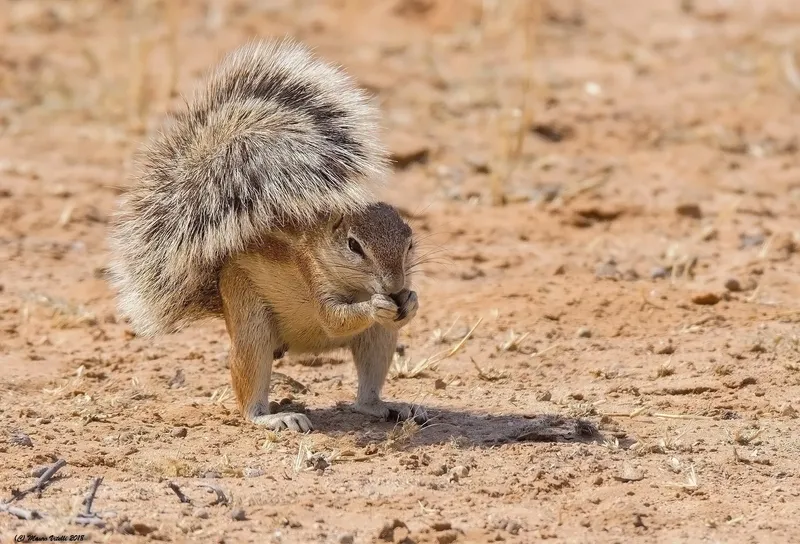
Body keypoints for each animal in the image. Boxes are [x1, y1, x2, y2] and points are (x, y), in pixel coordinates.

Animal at [111, 38, 432, 432]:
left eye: (410, 240)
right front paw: (375, 305)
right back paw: (275, 418)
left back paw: (390, 407)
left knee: (365, 396)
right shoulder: (313, 277)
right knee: (249, 391)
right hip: (249, 321)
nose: (395, 288)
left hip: (380, 337)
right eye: (354, 245)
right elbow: (334, 318)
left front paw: (412, 300)